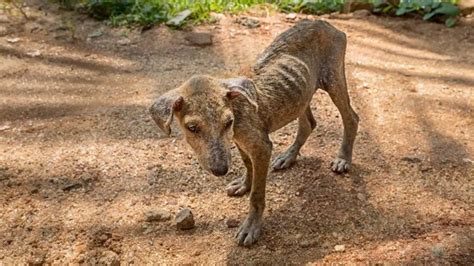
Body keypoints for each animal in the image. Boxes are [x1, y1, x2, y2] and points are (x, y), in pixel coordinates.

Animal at [151, 19, 360, 246]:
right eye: (192, 128)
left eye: (228, 122)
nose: (221, 170)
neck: (236, 107)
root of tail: (325, 23)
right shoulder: (241, 141)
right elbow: (247, 164)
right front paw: (244, 184)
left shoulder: (261, 147)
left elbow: (257, 195)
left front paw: (251, 226)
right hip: (302, 95)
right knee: (308, 124)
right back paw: (288, 156)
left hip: (333, 80)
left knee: (352, 118)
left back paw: (343, 158)